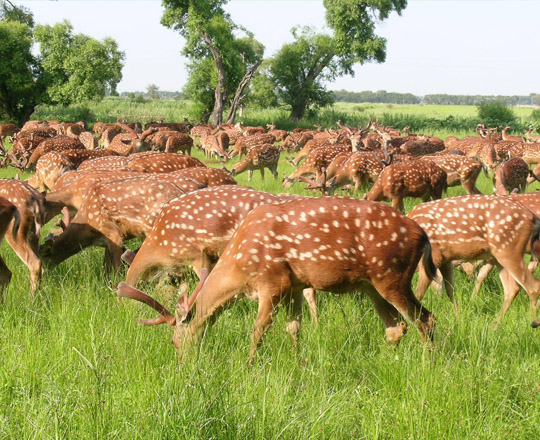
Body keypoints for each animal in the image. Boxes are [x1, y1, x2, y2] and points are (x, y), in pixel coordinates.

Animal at [117, 198, 434, 360]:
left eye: (174, 341)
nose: (182, 363)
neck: (239, 268)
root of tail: (422, 235)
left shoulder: (272, 281)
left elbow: (258, 332)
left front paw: (249, 367)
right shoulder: (295, 285)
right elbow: (294, 329)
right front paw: (297, 364)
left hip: (391, 275)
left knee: (425, 318)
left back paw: (429, 364)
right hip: (370, 285)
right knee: (396, 327)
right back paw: (389, 361)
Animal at [410, 194, 540, 318]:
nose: (437, 299)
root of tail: (533, 218)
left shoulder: (434, 257)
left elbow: (418, 294)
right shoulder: (445, 259)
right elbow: (451, 290)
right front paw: (459, 318)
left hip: (508, 250)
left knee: (533, 286)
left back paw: (529, 319)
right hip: (500, 255)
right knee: (512, 288)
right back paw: (495, 323)